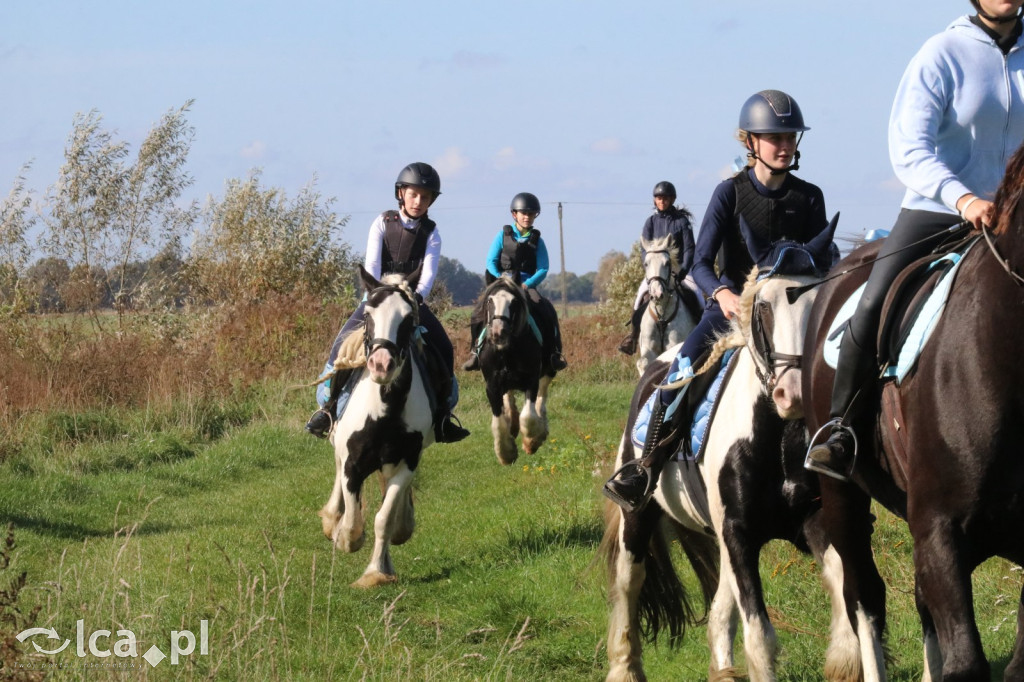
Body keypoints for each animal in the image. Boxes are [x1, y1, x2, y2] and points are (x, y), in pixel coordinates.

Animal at [317, 262, 434, 585]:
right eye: (368, 315)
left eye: (407, 319)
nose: (381, 365)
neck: (386, 411)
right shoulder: (352, 464)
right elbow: (353, 523)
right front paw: (342, 535)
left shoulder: (406, 462)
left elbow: (384, 518)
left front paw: (377, 572)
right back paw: (331, 518)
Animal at [477, 274, 552, 464]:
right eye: (489, 301)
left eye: (514, 302)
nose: (498, 332)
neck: (506, 350)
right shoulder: (491, 386)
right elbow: (497, 422)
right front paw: (506, 452)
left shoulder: (532, 380)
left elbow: (529, 416)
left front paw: (532, 442)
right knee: (508, 397)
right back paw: (512, 420)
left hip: (548, 370)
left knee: (542, 395)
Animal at [634, 232, 700, 372]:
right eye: (646, 264)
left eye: (667, 263)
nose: (657, 294)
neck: (661, 315)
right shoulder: (649, 348)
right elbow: (643, 363)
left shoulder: (673, 346)